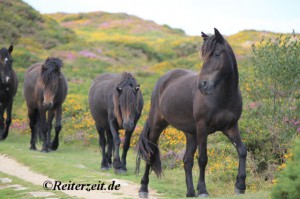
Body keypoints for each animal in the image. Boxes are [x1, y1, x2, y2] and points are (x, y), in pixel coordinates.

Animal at [137, 28, 247, 198]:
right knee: (151, 152)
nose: (203, 85)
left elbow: (242, 150)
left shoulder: (231, 127)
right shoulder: (203, 128)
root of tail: (162, 79)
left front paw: (240, 185)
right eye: (203, 56)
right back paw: (143, 188)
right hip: (157, 125)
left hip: (191, 133)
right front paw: (203, 190)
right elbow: (203, 158)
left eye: (217, 54)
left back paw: (190, 192)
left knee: (187, 160)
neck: (223, 96)